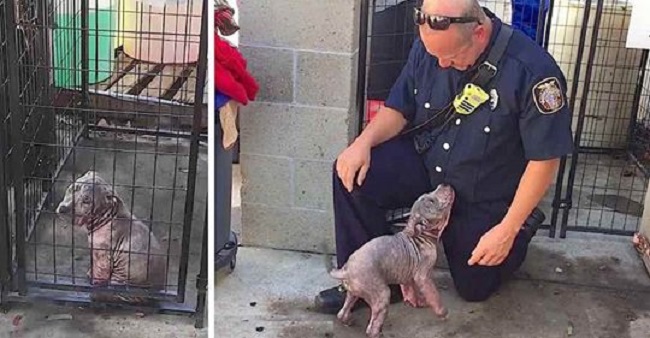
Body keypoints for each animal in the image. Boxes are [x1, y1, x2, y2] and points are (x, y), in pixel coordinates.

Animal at [55, 170, 166, 302]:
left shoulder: (103, 255)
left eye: (87, 200)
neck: (106, 215)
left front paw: (95, 281)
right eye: (72, 188)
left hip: (122, 279)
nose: (63, 208)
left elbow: (100, 271)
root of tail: (156, 294)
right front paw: (90, 272)